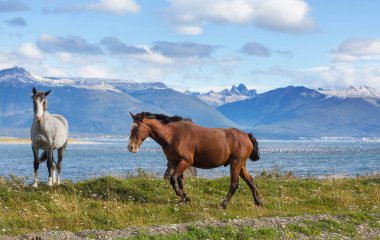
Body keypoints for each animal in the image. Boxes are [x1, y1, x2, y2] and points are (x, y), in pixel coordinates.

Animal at [127, 112, 262, 208]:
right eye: (131, 127)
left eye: (137, 127)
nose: (131, 147)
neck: (173, 135)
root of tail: (246, 135)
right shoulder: (176, 163)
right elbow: (180, 181)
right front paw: (184, 199)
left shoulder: (184, 162)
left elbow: (173, 179)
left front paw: (185, 197)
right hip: (241, 165)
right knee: (251, 181)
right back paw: (258, 202)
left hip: (236, 164)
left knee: (234, 185)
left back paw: (223, 204)